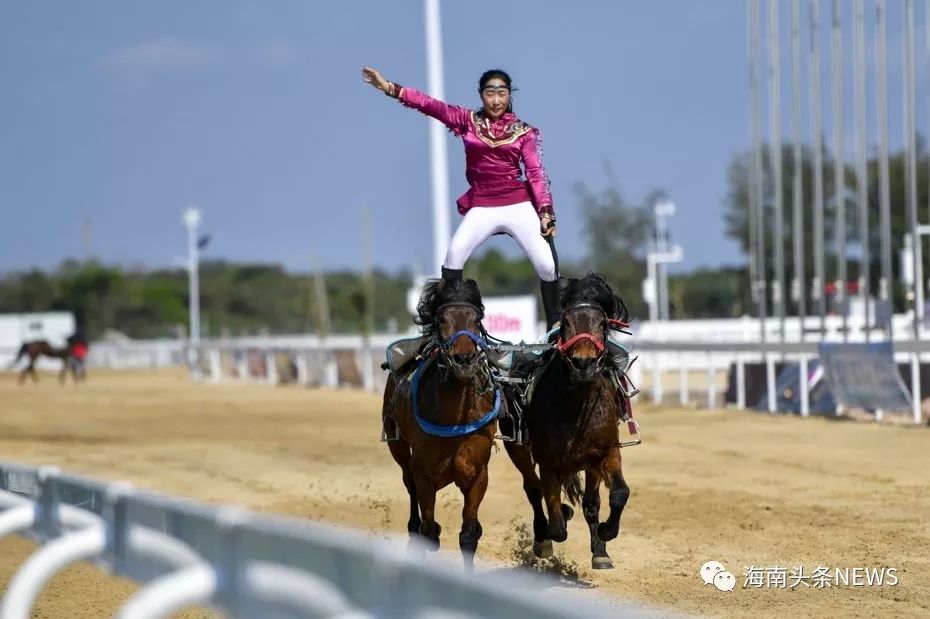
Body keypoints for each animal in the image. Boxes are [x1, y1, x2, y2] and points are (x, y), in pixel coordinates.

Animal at [378, 280, 500, 572]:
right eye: (443, 319)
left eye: (476, 320)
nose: (464, 360)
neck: (454, 420)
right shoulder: (424, 472)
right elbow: (428, 527)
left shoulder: (478, 472)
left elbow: (468, 534)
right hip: (399, 449)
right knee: (408, 483)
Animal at [504, 274, 636, 572]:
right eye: (565, 323)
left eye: (602, 323)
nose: (583, 363)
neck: (576, 406)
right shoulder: (548, 463)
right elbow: (556, 522)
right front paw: (558, 520)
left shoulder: (605, 452)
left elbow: (616, 494)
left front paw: (604, 540)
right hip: (518, 448)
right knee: (533, 489)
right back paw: (544, 534)